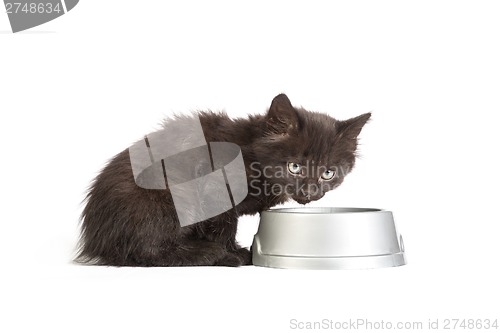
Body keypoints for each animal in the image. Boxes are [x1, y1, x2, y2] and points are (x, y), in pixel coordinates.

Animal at [76, 93, 370, 264]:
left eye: (328, 173)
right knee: (145, 250)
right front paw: (232, 253)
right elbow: (223, 224)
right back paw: (205, 253)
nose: (310, 192)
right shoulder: (217, 186)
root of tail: (95, 239)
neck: (251, 154)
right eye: (295, 167)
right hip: (167, 197)